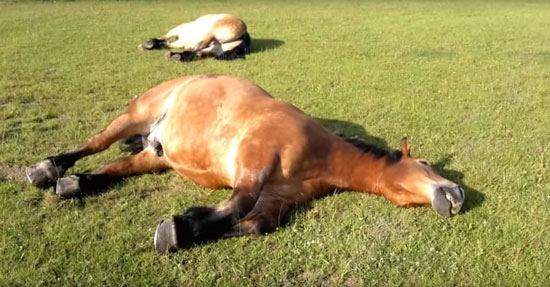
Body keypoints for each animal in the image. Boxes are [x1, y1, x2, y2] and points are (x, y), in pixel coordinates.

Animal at [25, 75, 466, 253]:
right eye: (425, 162)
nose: (458, 195)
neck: (319, 153)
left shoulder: (278, 198)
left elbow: (257, 224)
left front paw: (186, 232)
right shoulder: (253, 164)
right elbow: (238, 204)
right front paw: (178, 227)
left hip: (153, 157)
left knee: (111, 170)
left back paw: (74, 184)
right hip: (134, 115)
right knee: (93, 144)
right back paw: (47, 170)